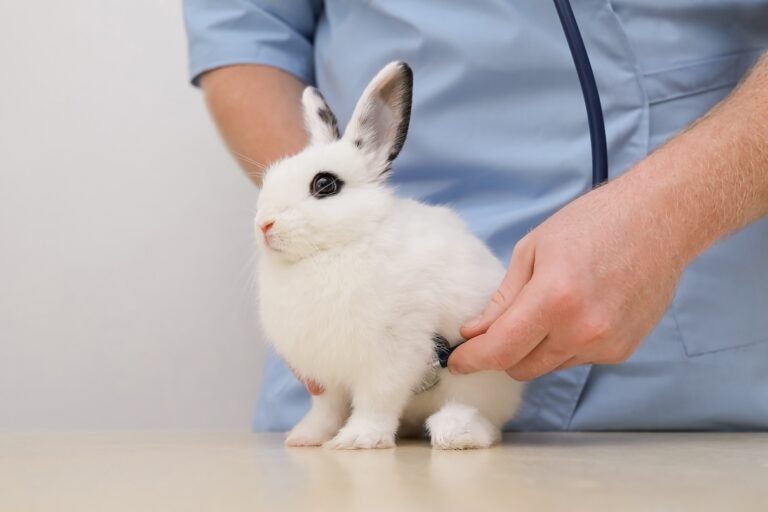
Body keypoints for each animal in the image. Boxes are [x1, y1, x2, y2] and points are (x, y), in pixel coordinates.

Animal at [255, 61, 524, 450]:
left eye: (324, 184)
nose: (264, 224)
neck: (338, 248)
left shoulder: (392, 356)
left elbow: (375, 401)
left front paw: (357, 439)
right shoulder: (326, 376)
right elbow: (327, 409)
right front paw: (306, 437)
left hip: (476, 380)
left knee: (484, 421)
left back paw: (454, 432)